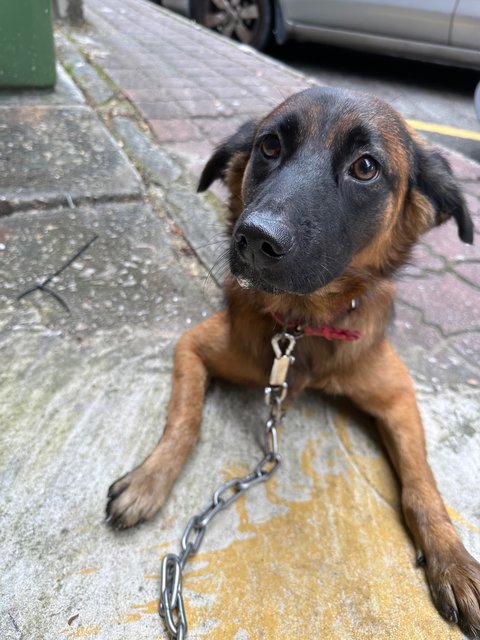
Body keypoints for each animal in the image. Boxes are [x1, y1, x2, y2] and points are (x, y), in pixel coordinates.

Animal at [108, 89, 480, 636]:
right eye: (269, 145)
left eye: (365, 166)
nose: (255, 239)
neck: (302, 326)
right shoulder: (193, 346)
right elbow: (185, 421)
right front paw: (148, 481)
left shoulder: (398, 394)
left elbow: (422, 485)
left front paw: (452, 560)